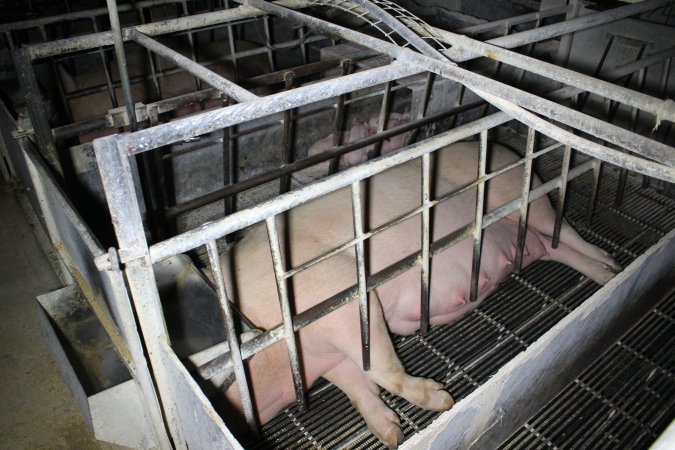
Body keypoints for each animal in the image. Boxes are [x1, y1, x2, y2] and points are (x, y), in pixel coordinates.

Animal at [218, 140, 624, 446]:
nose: (394, 433)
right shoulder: (326, 355)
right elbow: (358, 384)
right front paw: (391, 434)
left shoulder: (338, 294)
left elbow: (384, 369)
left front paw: (443, 399)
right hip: (525, 229)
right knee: (554, 247)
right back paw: (608, 276)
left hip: (521, 192)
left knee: (564, 229)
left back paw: (613, 265)